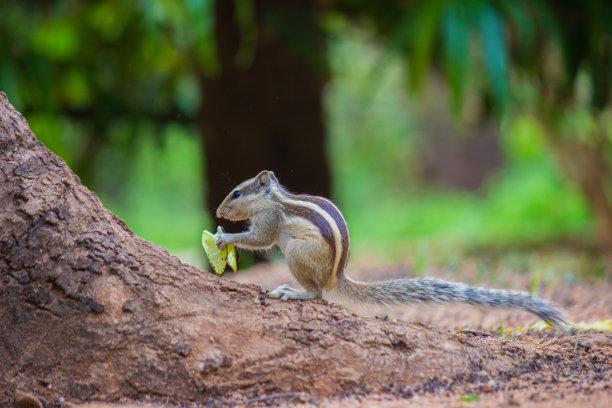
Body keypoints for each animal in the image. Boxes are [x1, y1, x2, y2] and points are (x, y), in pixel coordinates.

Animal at [215, 171, 568, 330]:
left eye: (236, 193)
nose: (218, 212)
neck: (271, 198)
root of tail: (336, 276)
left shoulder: (269, 220)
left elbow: (259, 239)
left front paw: (222, 237)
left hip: (297, 256)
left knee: (317, 294)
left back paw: (292, 292)